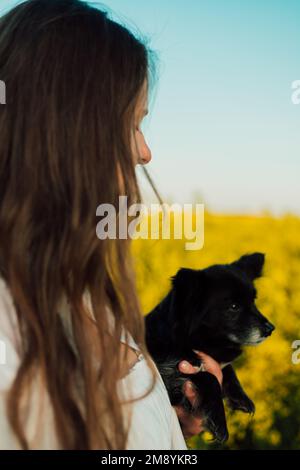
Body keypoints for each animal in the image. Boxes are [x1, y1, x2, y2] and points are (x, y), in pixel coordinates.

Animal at [145, 252, 274, 442]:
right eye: (234, 306)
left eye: (253, 301)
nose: (270, 329)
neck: (188, 340)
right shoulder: (167, 374)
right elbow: (209, 376)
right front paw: (219, 421)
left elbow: (227, 369)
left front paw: (240, 397)